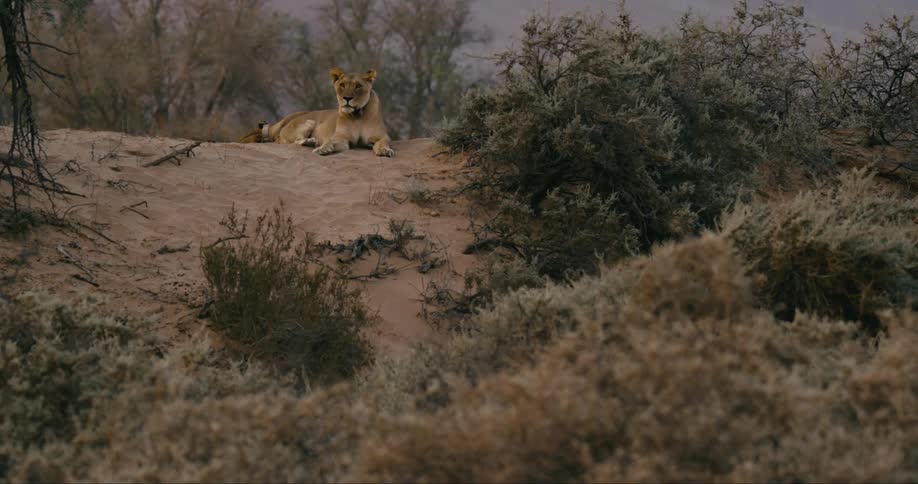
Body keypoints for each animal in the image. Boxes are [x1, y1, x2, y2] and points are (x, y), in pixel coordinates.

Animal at [239, 67, 395, 157]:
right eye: (342, 85)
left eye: (358, 86)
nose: (347, 98)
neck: (357, 116)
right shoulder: (341, 138)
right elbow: (330, 141)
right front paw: (322, 149)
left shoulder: (381, 136)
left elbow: (383, 142)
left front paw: (384, 150)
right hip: (308, 121)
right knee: (293, 141)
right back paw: (311, 142)